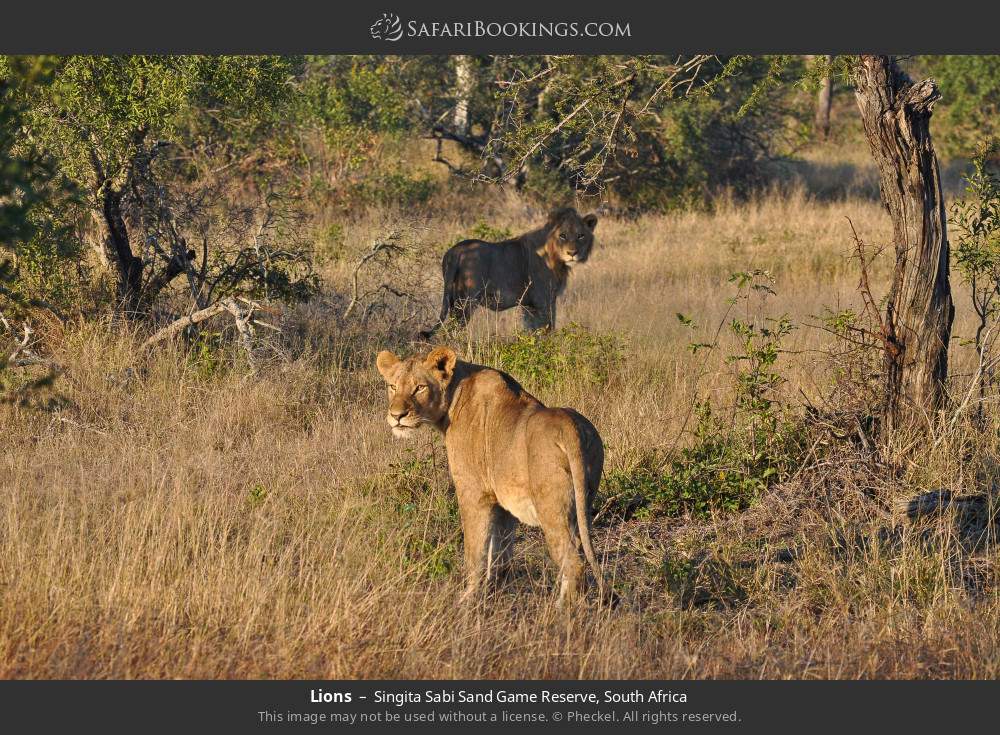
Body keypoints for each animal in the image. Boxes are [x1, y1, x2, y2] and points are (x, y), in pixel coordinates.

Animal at [375, 345, 606, 603]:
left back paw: (561, 611)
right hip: (582, 499)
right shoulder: (503, 502)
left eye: (420, 387)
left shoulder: (473, 492)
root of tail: (570, 428)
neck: (453, 396)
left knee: (573, 561)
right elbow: (499, 553)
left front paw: (468, 599)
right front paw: (493, 592)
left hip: (551, 507)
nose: (397, 416)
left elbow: (475, 549)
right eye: (393, 387)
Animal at [419, 207, 598, 338]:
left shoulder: (530, 304)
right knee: (452, 331)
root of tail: (454, 252)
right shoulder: (544, 300)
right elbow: (548, 328)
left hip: (453, 300)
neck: (554, 256)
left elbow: (531, 329)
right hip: (466, 302)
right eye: (563, 235)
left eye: (581, 236)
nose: (572, 253)